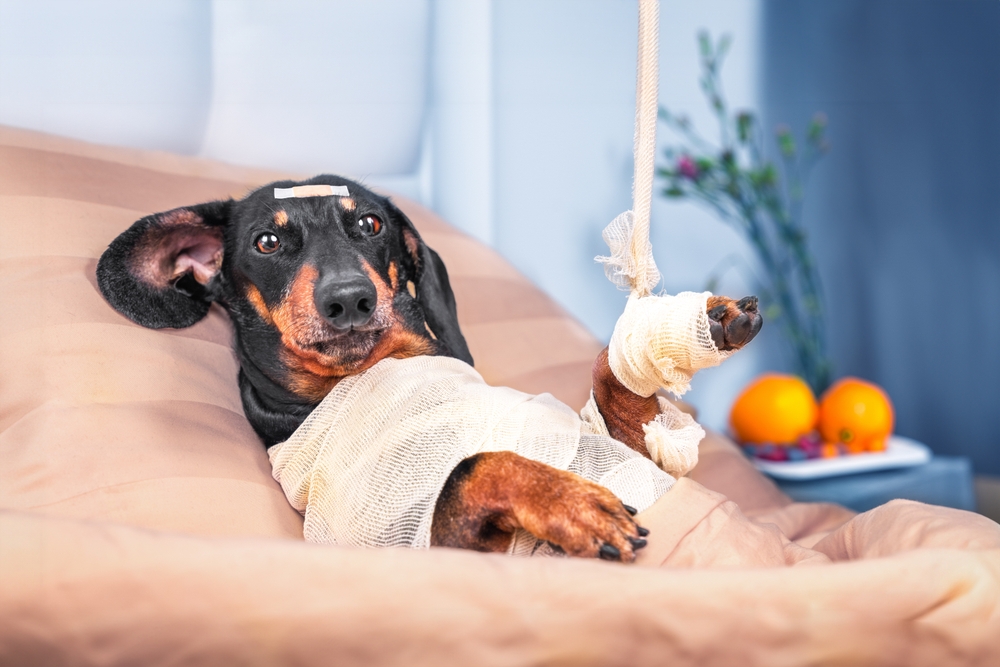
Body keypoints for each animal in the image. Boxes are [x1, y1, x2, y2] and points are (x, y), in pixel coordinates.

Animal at [97, 176, 760, 564]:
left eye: (369, 224)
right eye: (266, 242)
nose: (349, 299)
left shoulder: (611, 439)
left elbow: (614, 388)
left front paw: (709, 321)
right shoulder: (421, 532)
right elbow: (477, 462)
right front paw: (573, 501)